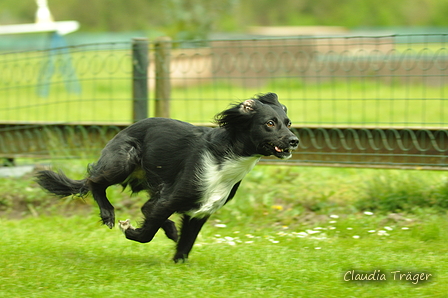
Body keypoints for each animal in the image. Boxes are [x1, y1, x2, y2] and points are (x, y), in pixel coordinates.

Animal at [36, 92, 300, 262]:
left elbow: (185, 244)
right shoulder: (172, 197)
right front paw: (130, 231)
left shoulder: (199, 211)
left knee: (145, 206)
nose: (294, 140)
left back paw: (170, 229)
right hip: (124, 159)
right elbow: (146, 235)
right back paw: (108, 214)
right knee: (94, 183)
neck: (226, 158)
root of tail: (124, 130)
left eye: (288, 123)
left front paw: (178, 263)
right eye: (270, 123)